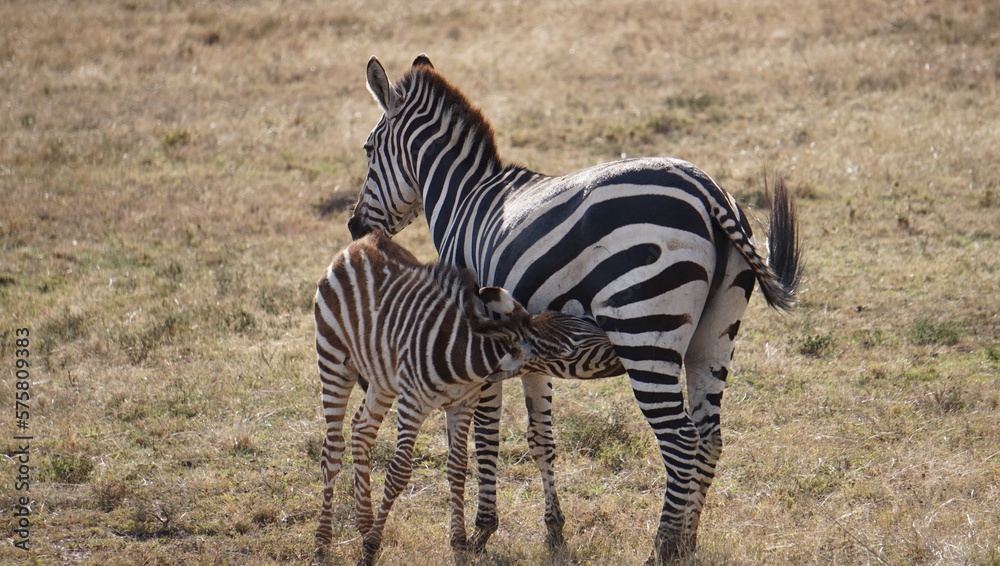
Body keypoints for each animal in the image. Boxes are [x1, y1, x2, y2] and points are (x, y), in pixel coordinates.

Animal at [312, 229, 621, 565]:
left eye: (582, 321)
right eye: (571, 350)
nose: (623, 350)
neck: (463, 357)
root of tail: (362, 242)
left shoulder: (462, 404)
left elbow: (459, 468)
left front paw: (459, 544)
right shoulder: (412, 404)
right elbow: (398, 473)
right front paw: (370, 549)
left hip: (382, 377)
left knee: (362, 430)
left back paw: (364, 524)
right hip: (333, 359)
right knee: (332, 448)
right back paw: (323, 542)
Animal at [346, 54, 802, 562]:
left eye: (368, 149)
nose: (354, 227)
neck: (464, 197)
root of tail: (706, 189)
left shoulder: (477, 341)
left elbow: (484, 436)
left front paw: (482, 531)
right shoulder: (530, 348)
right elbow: (541, 438)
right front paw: (554, 531)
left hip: (644, 328)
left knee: (680, 440)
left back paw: (662, 547)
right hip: (715, 333)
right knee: (710, 436)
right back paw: (687, 543)